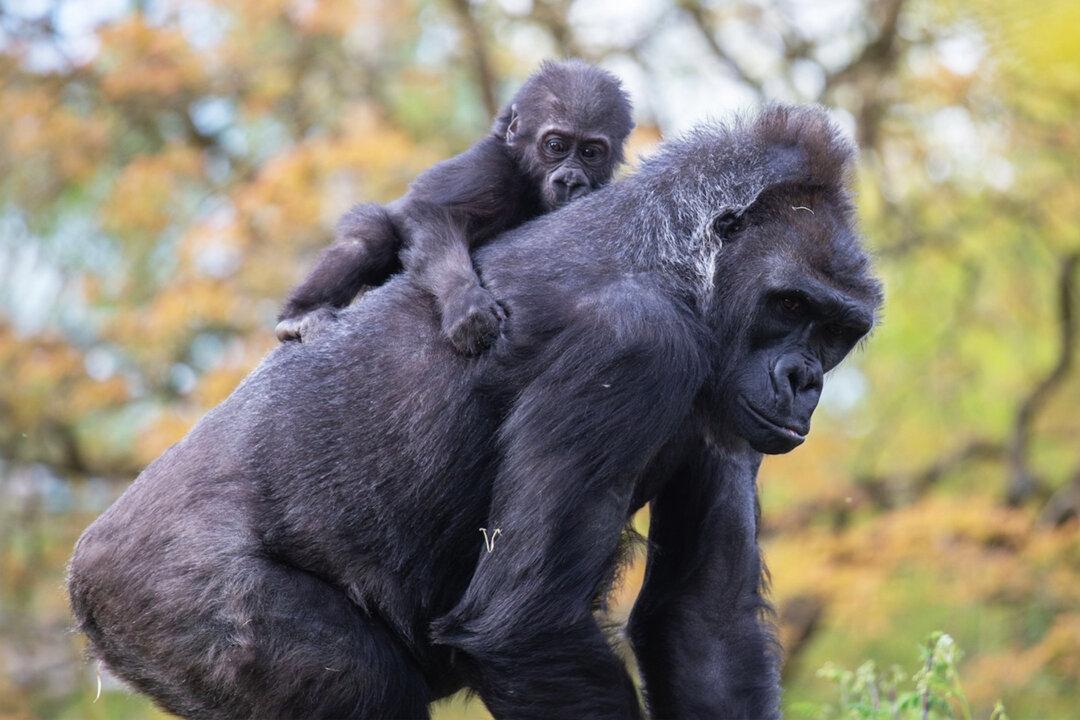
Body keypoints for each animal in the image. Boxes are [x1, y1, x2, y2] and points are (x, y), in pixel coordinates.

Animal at [68, 105, 882, 719]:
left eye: (836, 330)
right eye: (790, 305)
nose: (804, 378)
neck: (683, 270)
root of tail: (86, 574)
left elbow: (704, 625)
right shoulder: (633, 345)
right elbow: (526, 626)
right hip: (169, 600)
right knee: (362, 687)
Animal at [275, 59, 634, 354]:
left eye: (590, 152)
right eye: (556, 145)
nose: (571, 180)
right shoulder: (488, 169)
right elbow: (434, 213)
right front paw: (466, 303)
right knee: (367, 239)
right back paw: (299, 315)